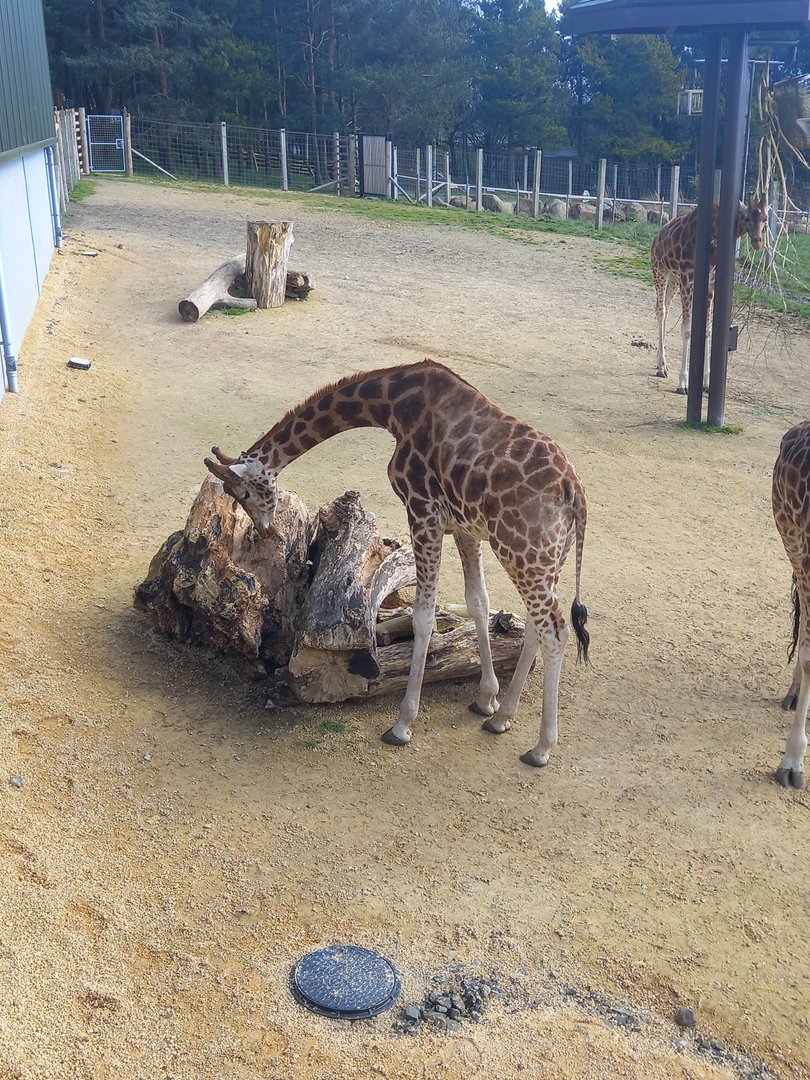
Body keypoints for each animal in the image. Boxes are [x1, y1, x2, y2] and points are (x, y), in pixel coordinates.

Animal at [204, 359, 589, 768]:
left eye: (243, 493)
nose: (262, 528)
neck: (391, 407)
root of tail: (576, 496)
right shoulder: (463, 527)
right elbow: (478, 603)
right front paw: (487, 700)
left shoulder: (423, 512)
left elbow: (424, 617)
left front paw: (402, 725)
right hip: (547, 556)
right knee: (537, 624)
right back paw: (503, 719)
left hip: (522, 550)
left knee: (555, 630)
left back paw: (541, 748)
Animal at [651, 194, 768, 394]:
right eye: (747, 218)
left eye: (765, 219)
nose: (757, 242)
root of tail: (657, 236)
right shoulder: (687, 279)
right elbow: (687, 330)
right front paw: (683, 383)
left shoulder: (711, 282)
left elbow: (707, 330)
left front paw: (706, 382)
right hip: (660, 271)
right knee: (660, 310)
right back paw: (661, 367)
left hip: (673, 279)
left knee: (665, 309)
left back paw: (662, 366)